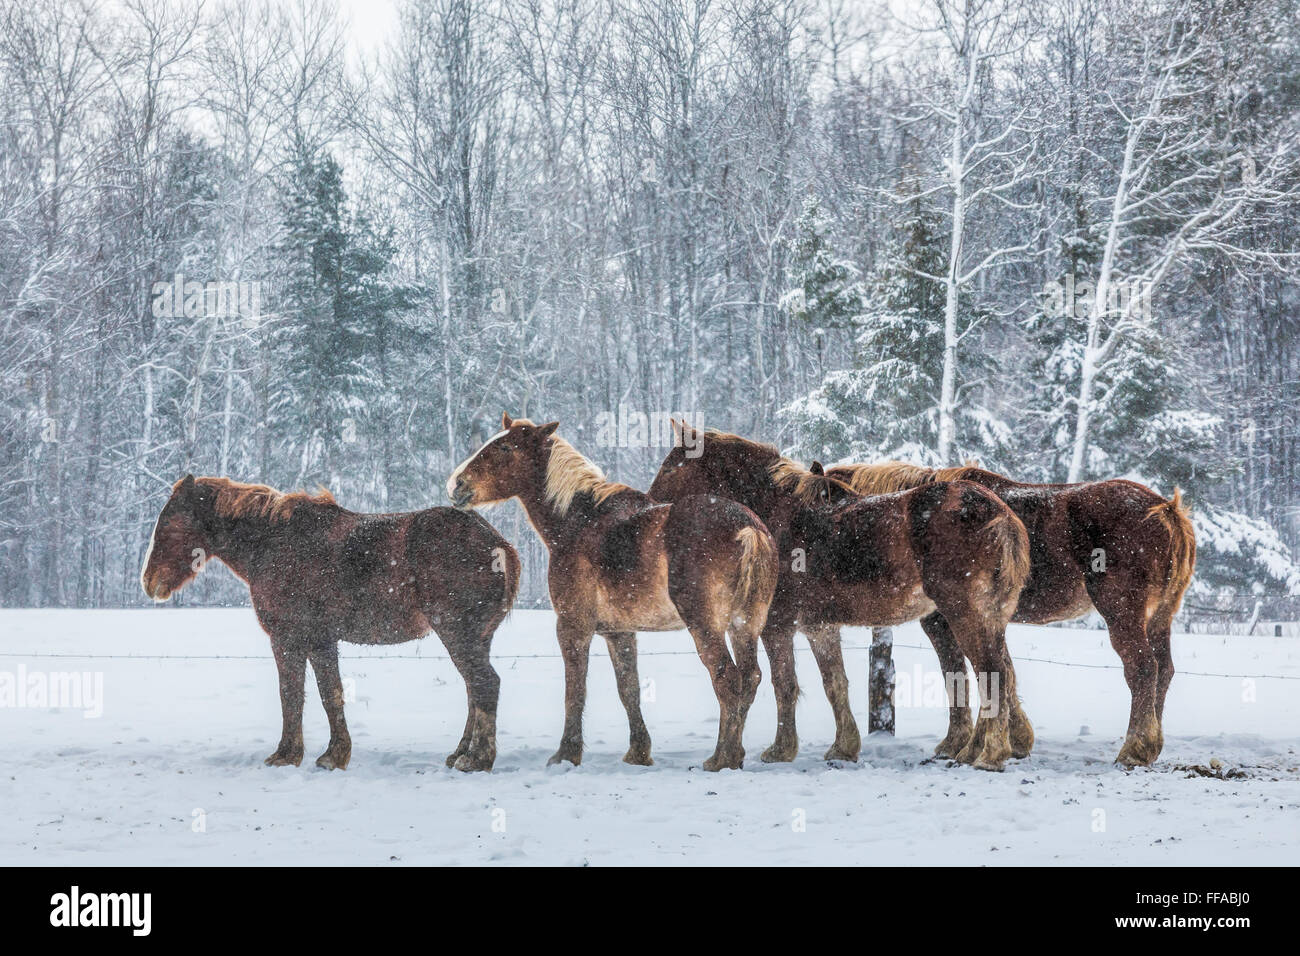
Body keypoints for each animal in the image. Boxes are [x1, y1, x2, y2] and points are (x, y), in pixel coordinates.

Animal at [141, 474, 520, 772]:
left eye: (170, 523)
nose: (149, 582)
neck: (271, 543)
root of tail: (500, 545)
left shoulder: (287, 638)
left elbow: (291, 695)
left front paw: (287, 754)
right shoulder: (321, 640)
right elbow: (330, 695)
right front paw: (335, 755)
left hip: (458, 634)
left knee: (485, 685)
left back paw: (477, 759)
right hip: (476, 638)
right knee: (474, 691)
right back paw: (460, 753)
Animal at [447, 414, 780, 771]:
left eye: (506, 447)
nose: (457, 485)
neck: (580, 522)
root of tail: (749, 528)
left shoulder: (572, 627)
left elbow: (575, 690)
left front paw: (566, 754)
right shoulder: (619, 632)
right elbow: (628, 689)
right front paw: (638, 752)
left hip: (707, 627)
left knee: (727, 680)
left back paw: (722, 758)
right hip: (744, 626)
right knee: (749, 678)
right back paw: (733, 754)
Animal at [649, 424, 1034, 771]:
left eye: (670, 466)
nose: (651, 504)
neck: (779, 516)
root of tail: (999, 513)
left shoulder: (777, 627)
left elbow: (784, 684)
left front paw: (781, 749)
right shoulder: (820, 627)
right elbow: (834, 683)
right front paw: (843, 747)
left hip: (966, 614)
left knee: (992, 674)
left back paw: (988, 755)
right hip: (990, 618)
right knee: (1003, 673)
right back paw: (980, 749)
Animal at [822, 461, 1196, 767]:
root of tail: (1167, 511)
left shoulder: (946, 622)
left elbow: (960, 673)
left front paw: (960, 744)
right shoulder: (989, 620)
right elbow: (1004, 673)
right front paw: (1014, 740)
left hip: (1122, 613)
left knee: (1143, 669)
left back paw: (1134, 749)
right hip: (1159, 618)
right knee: (1163, 671)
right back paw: (1151, 745)